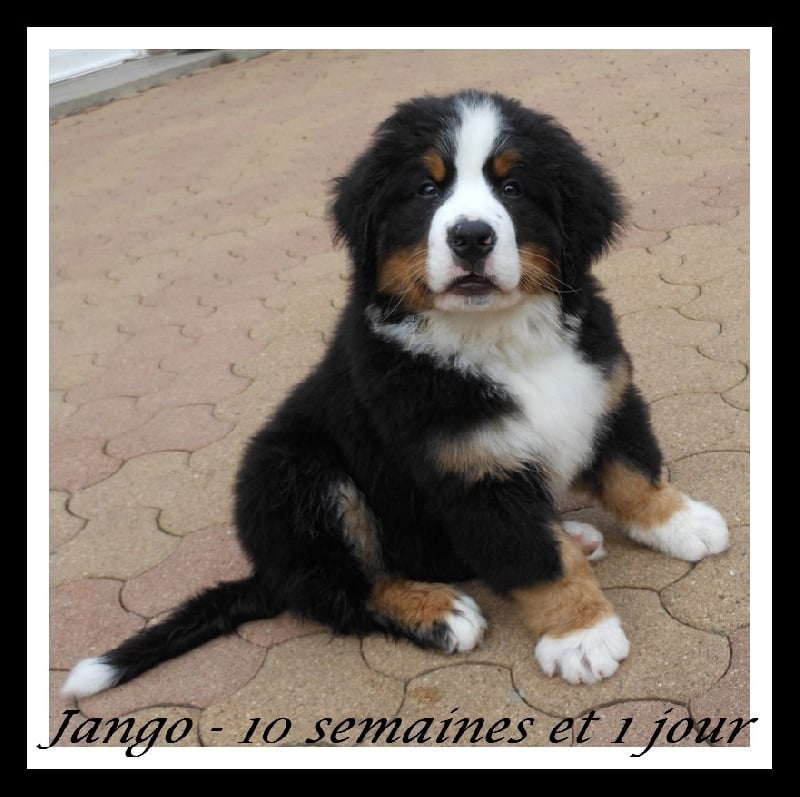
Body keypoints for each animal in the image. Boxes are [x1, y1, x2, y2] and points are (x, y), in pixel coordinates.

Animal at [62, 89, 729, 697]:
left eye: (513, 188)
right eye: (426, 191)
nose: (471, 237)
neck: (498, 340)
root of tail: (269, 570)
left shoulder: (604, 391)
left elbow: (631, 471)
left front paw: (680, 521)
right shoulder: (470, 471)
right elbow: (535, 559)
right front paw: (581, 635)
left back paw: (578, 535)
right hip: (297, 472)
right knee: (342, 590)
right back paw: (437, 610)